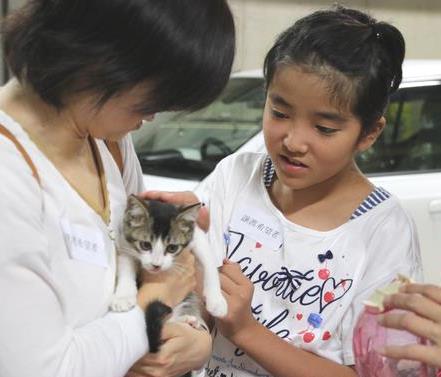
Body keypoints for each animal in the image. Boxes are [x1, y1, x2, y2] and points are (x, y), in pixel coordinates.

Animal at [110, 195, 227, 348]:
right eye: (145, 245)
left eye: (172, 248)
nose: (156, 265)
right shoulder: (125, 242)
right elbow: (125, 266)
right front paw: (123, 297)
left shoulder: (196, 236)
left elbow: (209, 262)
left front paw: (217, 302)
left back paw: (187, 320)